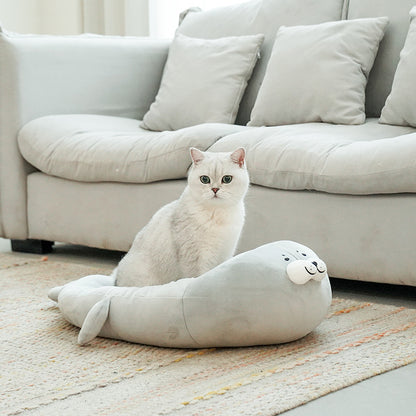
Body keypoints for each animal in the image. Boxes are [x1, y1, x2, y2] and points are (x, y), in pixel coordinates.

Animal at [114, 148, 249, 288]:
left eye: (227, 179)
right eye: (205, 179)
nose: (215, 189)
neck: (217, 213)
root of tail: (116, 281)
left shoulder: (225, 253)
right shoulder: (194, 257)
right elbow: (198, 278)